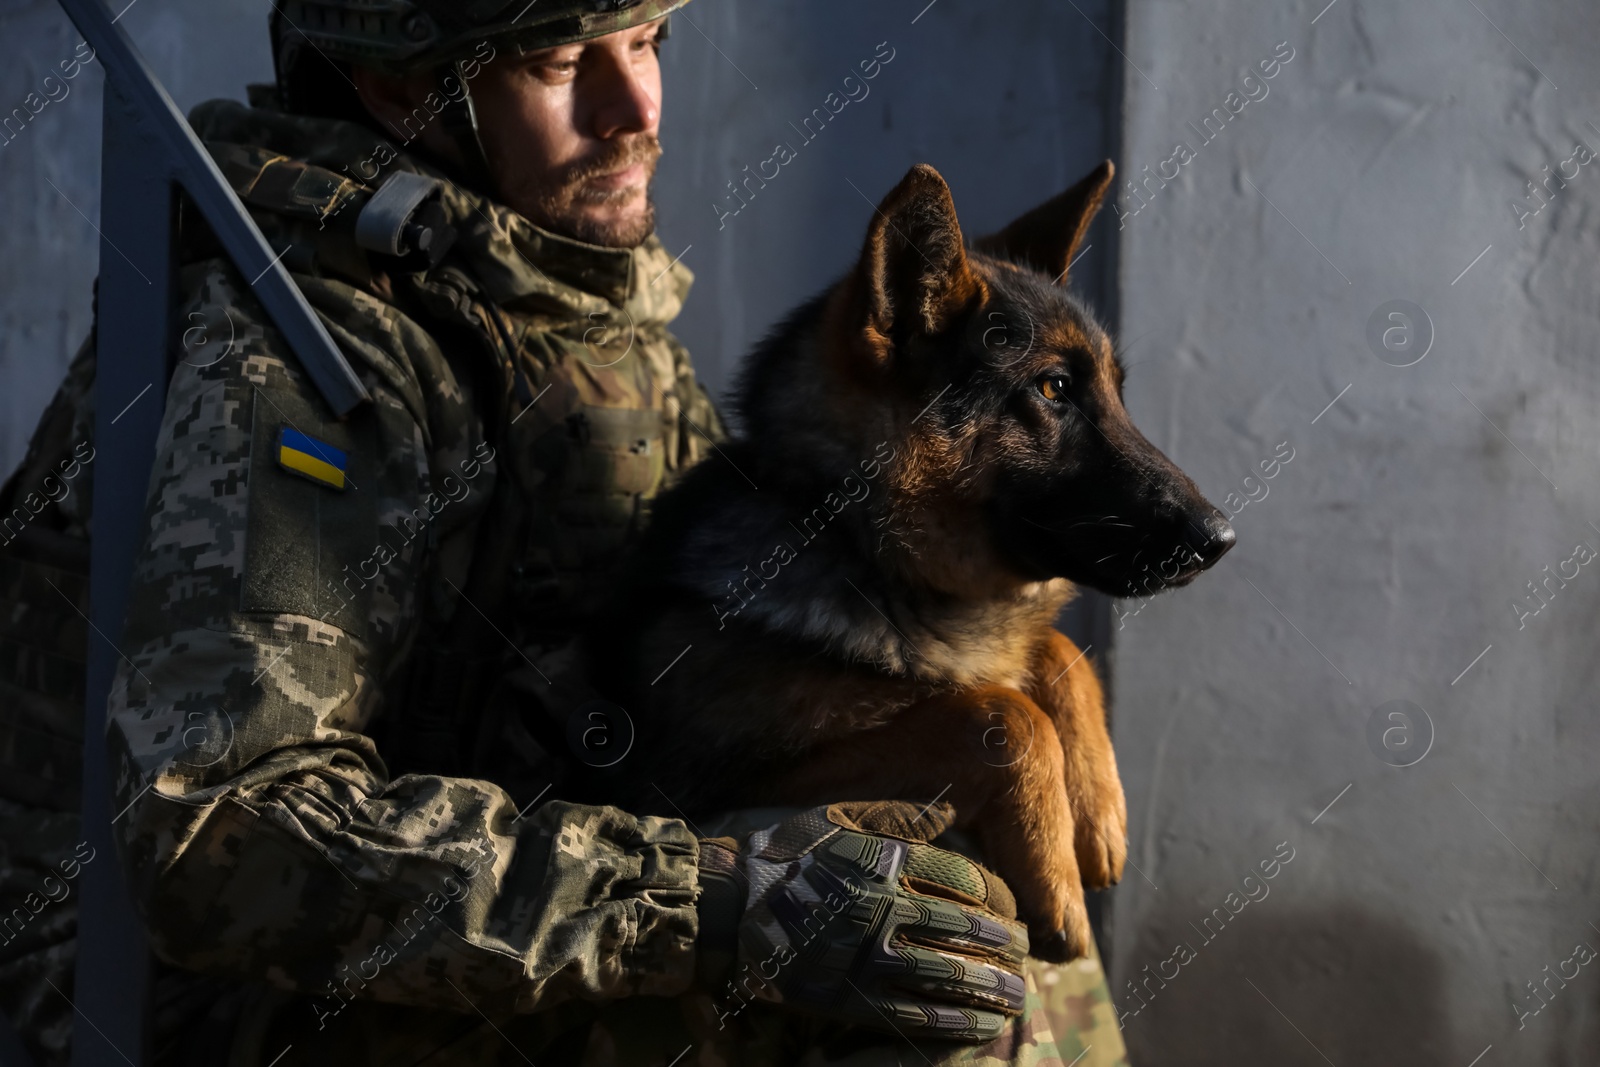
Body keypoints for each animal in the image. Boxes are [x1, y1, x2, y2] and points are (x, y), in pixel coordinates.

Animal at [588, 160, 1235, 959]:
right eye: (1054, 388)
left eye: (1116, 391)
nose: (1221, 538)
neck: (861, 546)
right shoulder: (708, 791)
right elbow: (998, 710)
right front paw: (1055, 872)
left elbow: (1055, 652)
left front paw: (1095, 808)